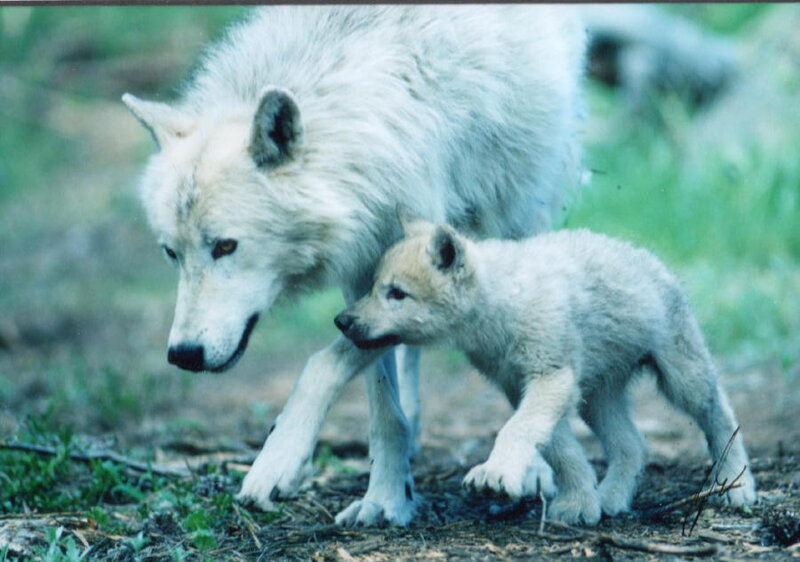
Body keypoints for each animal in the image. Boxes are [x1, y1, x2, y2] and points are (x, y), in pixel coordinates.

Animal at [122, 5, 586, 526]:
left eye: (225, 246)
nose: (183, 354)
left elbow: (321, 365)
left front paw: (278, 460)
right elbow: (383, 406)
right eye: (171, 253)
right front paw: (385, 497)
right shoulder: (363, 272)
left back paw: (536, 468)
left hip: (521, 213)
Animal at [335, 222, 758, 525]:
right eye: (373, 287)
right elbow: (559, 450)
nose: (342, 321)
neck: (503, 301)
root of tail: (651, 259)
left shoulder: (550, 377)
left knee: (720, 415)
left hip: (682, 377)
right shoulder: (523, 387)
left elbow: (517, 431)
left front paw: (495, 474)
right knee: (632, 444)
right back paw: (611, 498)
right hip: (596, 396)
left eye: (397, 293)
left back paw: (736, 487)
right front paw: (582, 504)